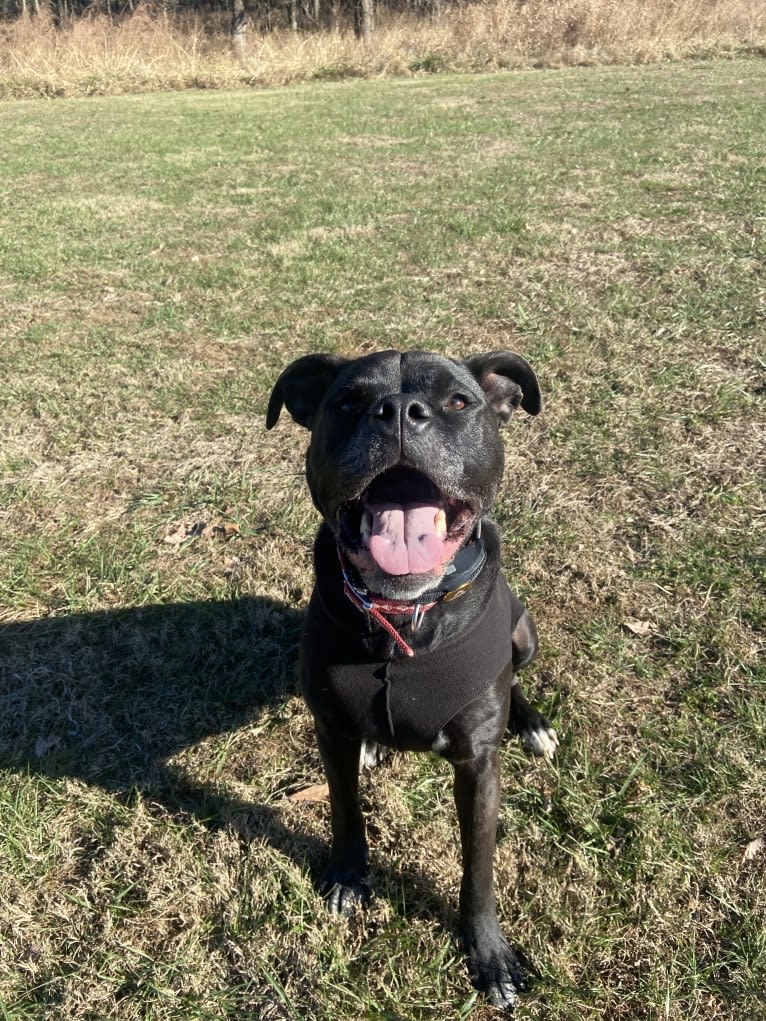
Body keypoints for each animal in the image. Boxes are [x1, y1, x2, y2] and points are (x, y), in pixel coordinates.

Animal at [267, 351, 559, 1012]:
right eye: (348, 402)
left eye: (458, 401)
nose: (399, 410)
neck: (404, 617)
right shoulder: (332, 733)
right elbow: (345, 811)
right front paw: (348, 879)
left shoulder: (478, 767)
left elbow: (478, 869)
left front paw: (489, 955)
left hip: (523, 631)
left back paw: (531, 723)